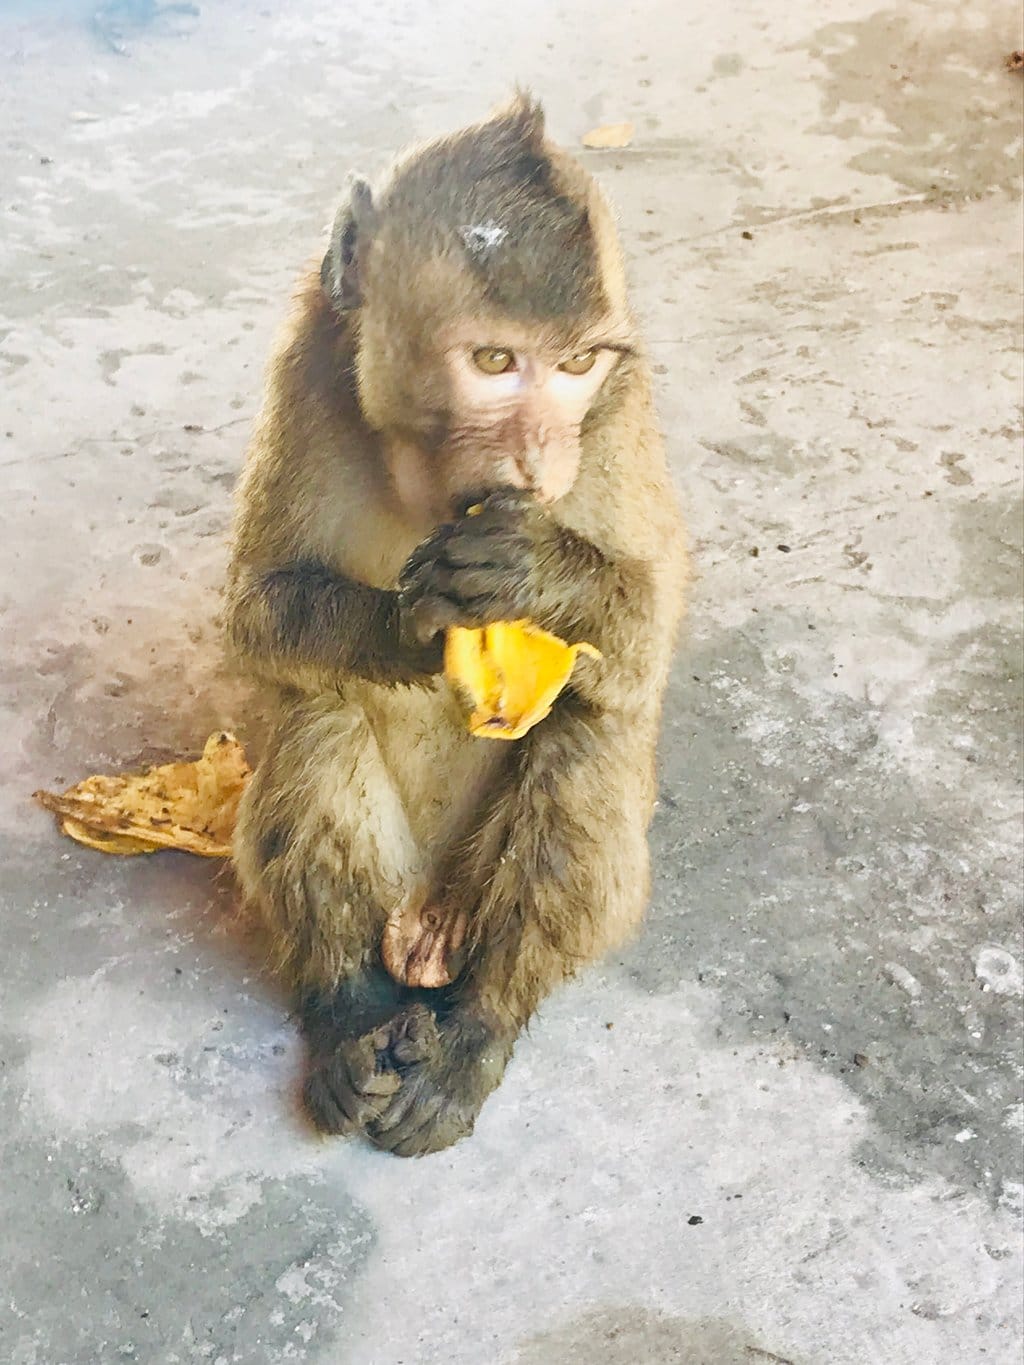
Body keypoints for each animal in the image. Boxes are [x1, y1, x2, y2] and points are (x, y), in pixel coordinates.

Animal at [224, 93, 688, 1158]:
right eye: (491, 360)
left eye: (576, 363)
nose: (539, 459)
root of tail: (428, 922)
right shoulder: (310, 365)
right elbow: (255, 611)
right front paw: (406, 623)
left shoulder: (615, 413)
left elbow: (648, 638)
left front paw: (539, 575)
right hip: (395, 886)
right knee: (314, 713)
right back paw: (349, 1007)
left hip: (473, 894)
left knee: (587, 732)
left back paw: (476, 1025)